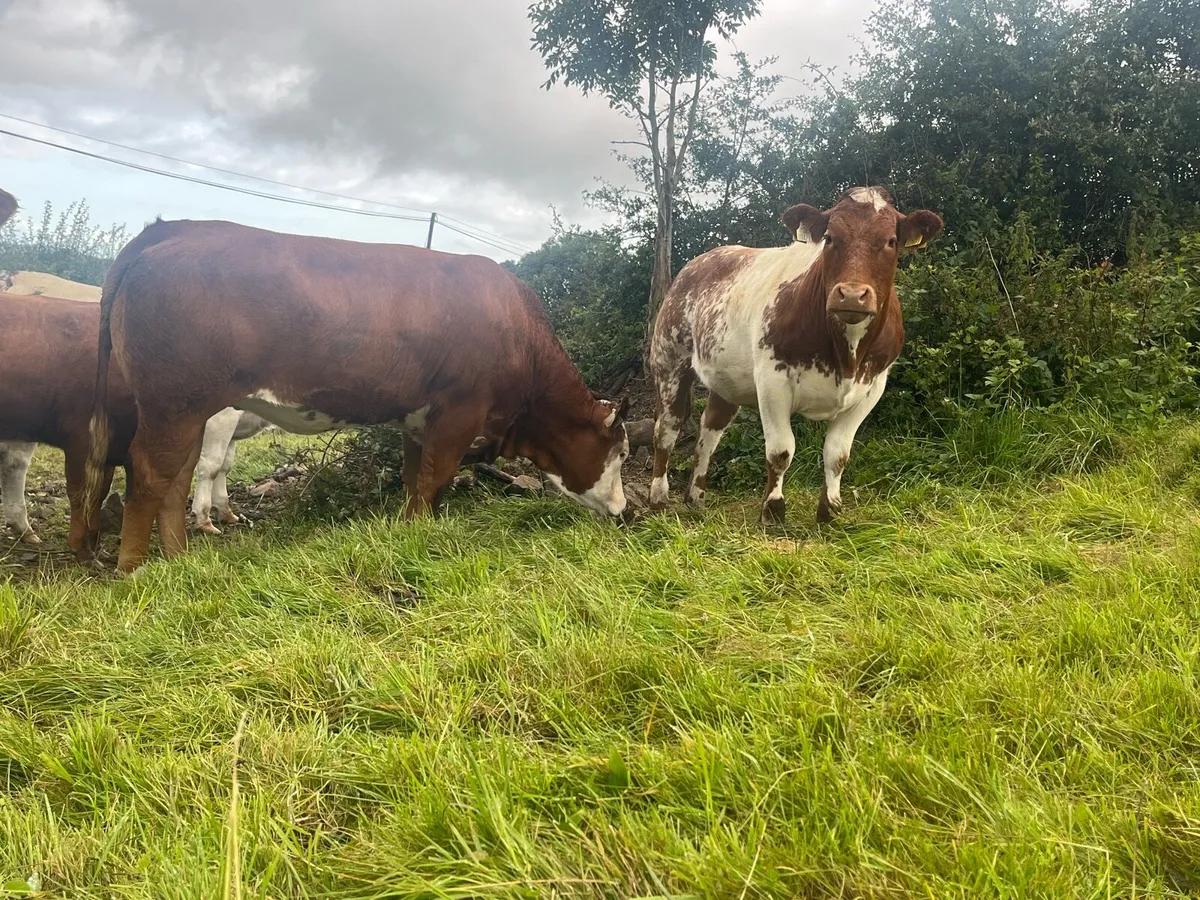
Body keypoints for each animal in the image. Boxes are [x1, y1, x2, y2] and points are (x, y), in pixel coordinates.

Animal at [0, 291, 140, 556]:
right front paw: (80, 547)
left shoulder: (108, 447)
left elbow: (99, 492)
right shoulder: (82, 438)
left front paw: (94, 542)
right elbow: (81, 492)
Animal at [84, 218, 630, 572]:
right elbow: (434, 479)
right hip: (173, 403)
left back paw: (178, 558)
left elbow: (415, 479)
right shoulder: (459, 411)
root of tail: (172, 229)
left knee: (176, 475)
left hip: (190, 409)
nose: (625, 511)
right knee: (150, 472)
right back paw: (133, 566)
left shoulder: (420, 420)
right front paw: (417, 532)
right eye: (622, 453)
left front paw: (414, 528)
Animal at [648, 186, 943, 525]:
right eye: (829, 238)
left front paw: (830, 510)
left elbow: (837, 454)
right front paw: (772, 510)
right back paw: (658, 499)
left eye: (891, 241)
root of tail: (701, 260)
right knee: (666, 430)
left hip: (726, 382)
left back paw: (696, 497)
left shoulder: (872, 386)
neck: (846, 357)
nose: (852, 295)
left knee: (709, 432)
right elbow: (781, 451)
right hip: (669, 361)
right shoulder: (772, 378)